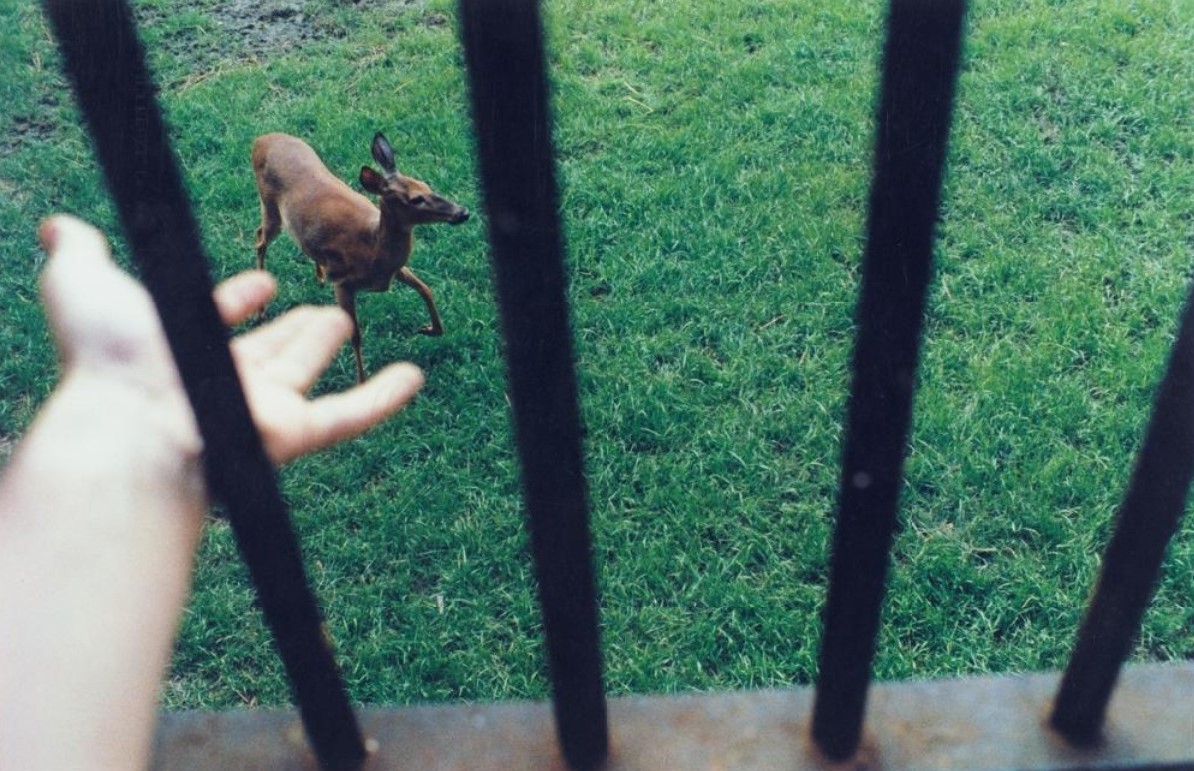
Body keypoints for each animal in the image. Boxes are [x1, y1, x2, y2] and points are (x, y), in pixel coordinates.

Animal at [253, 134, 470, 384]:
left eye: (426, 185)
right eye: (416, 199)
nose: (462, 212)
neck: (372, 249)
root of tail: (261, 140)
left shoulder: (396, 270)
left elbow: (426, 289)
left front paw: (430, 329)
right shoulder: (343, 283)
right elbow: (355, 335)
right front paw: (362, 382)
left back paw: (319, 276)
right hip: (270, 207)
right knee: (259, 239)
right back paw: (260, 310)